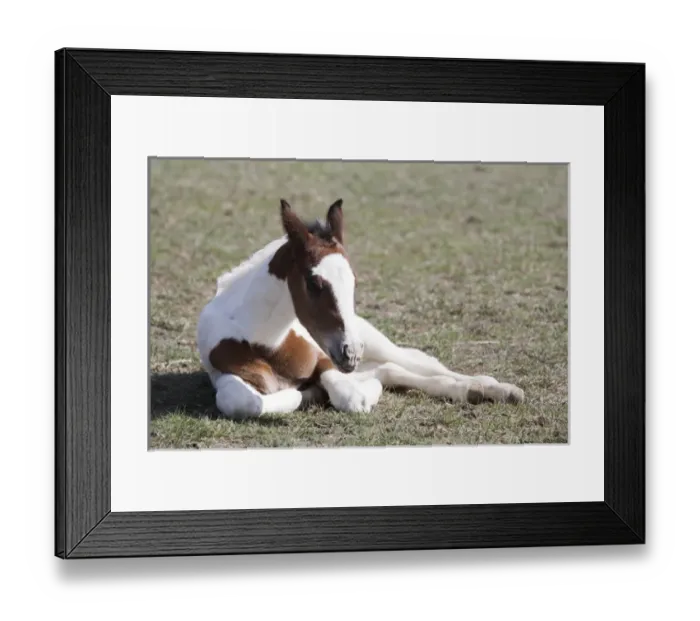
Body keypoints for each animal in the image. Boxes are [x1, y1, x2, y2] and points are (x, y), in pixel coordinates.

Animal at [196, 199, 525, 419]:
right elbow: (243, 402)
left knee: (418, 364)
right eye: (314, 283)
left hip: (375, 342)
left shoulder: (325, 360)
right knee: (393, 369)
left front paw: (355, 392)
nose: (351, 352)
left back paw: (495, 388)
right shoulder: (224, 376)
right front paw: (312, 392)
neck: (266, 342)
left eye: (354, 280)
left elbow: (349, 396)